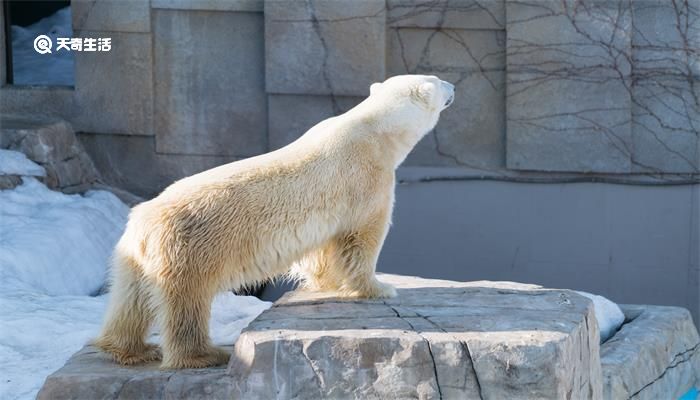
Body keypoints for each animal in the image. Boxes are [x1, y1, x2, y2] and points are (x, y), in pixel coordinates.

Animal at [94, 75, 454, 368]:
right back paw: (203, 355)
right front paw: (380, 288)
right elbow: (362, 238)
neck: (376, 129)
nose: (454, 86)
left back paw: (129, 349)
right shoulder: (367, 178)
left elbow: (324, 250)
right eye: (438, 81)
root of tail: (142, 223)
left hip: (133, 256)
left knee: (130, 300)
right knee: (187, 301)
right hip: (190, 249)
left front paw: (325, 282)